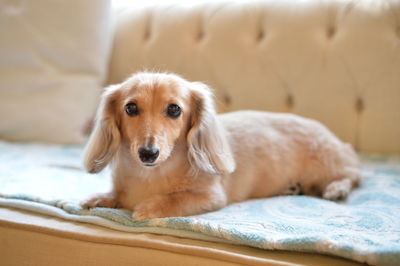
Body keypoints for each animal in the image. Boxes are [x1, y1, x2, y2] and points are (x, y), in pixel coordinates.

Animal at [80, 71, 360, 221]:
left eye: (174, 109)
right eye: (130, 108)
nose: (148, 153)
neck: (151, 175)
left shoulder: (212, 197)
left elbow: (178, 199)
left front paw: (150, 207)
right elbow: (116, 194)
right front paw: (101, 198)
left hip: (326, 164)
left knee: (351, 177)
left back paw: (336, 189)